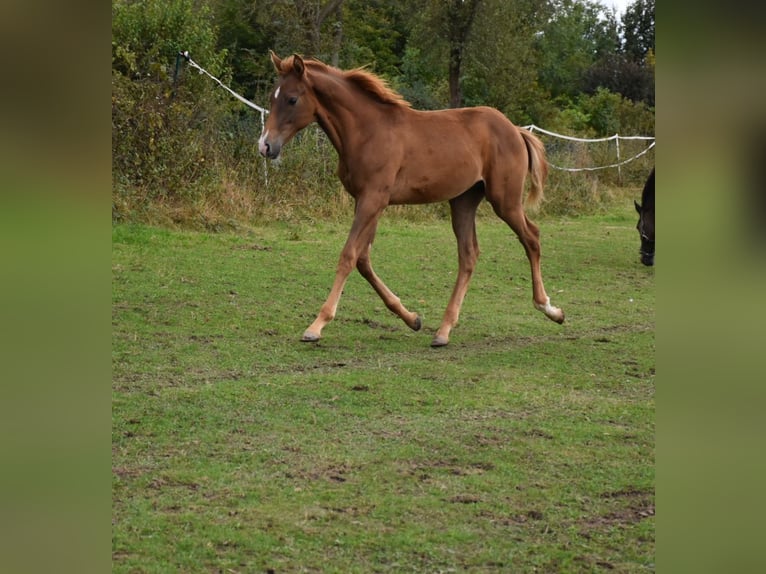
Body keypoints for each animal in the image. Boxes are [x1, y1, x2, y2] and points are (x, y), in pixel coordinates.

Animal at [258, 54, 564, 348]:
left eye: (292, 99)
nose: (265, 146)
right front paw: (412, 318)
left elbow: (348, 256)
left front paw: (316, 326)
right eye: (272, 97)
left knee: (531, 237)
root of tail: (514, 129)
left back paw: (550, 309)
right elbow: (363, 259)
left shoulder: (373, 199)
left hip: (505, 200)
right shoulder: (367, 201)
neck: (367, 131)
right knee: (469, 255)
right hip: (463, 200)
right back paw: (443, 331)